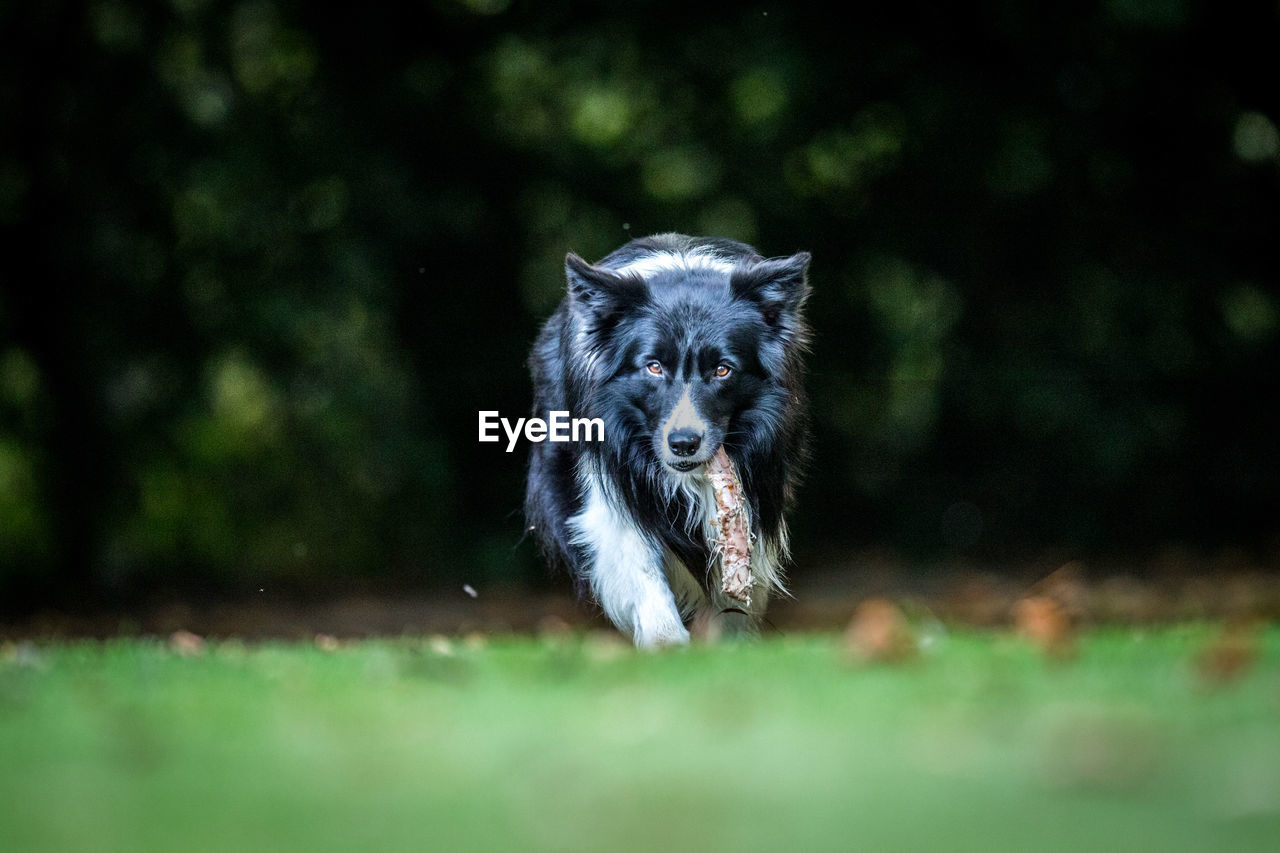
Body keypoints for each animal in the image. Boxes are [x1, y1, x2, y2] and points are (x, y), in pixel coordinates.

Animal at [522, 233, 808, 645]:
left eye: (723, 370)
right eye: (654, 367)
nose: (684, 443)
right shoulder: (610, 489)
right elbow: (640, 566)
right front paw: (666, 643)